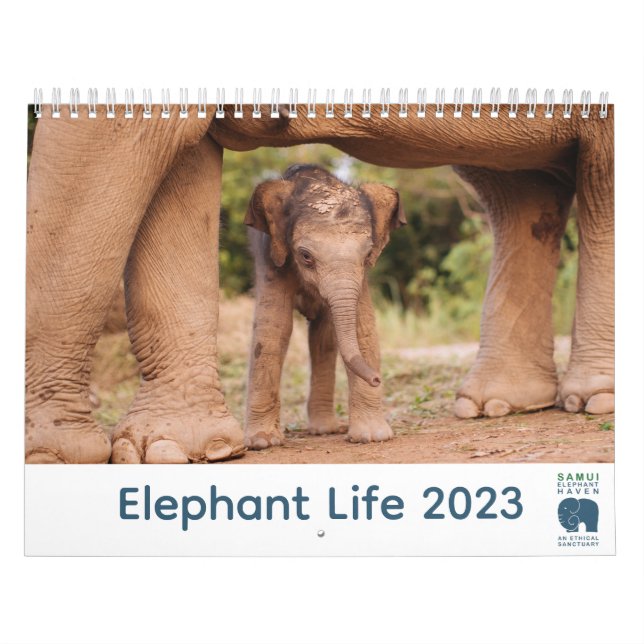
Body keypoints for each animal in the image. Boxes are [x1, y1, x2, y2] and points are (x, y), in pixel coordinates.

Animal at [244, 164, 405, 448]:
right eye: (305, 256)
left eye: (368, 254)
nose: (377, 378)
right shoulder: (271, 259)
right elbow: (274, 328)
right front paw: (262, 443)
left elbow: (363, 325)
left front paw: (373, 437)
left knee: (324, 336)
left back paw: (325, 430)